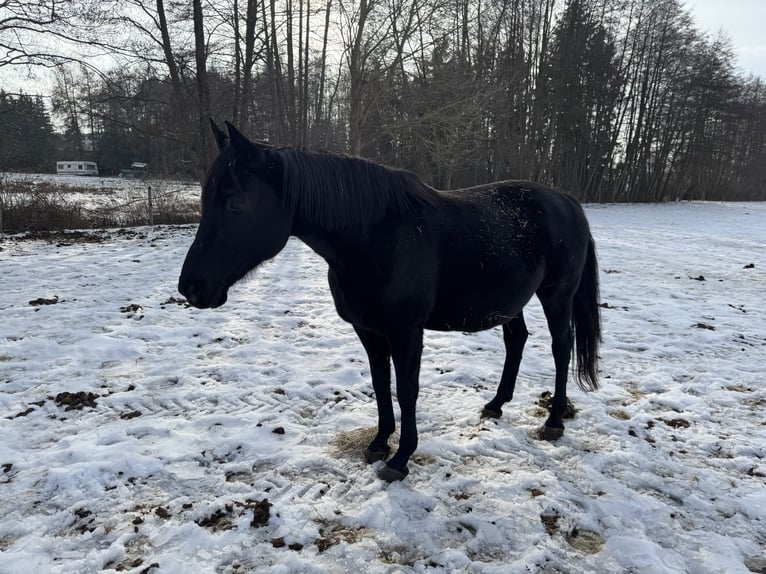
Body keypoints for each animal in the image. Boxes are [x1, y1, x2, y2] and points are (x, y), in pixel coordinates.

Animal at [178, 121, 601, 482]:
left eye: (234, 204)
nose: (191, 287)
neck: (376, 238)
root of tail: (567, 201)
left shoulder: (406, 333)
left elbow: (407, 389)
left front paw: (401, 459)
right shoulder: (369, 331)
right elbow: (381, 385)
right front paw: (380, 443)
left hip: (556, 296)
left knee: (561, 348)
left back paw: (554, 421)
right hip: (511, 301)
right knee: (516, 341)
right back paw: (496, 404)